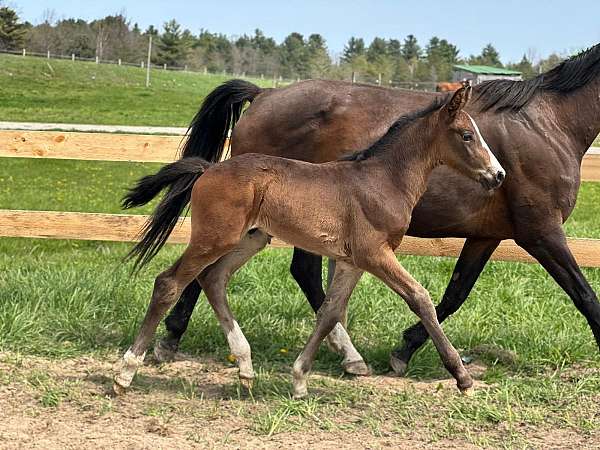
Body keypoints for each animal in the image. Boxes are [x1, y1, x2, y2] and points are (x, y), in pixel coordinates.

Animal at [115, 84, 504, 398]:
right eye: (466, 135)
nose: (498, 175)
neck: (383, 180)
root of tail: (208, 169)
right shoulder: (375, 254)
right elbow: (420, 298)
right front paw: (462, 377)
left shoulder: (351, 261)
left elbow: (329, 312)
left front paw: (301, 379)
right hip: (215, 238)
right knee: (170, 283)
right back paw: (125, 373)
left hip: (250, 239)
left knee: (213, 279)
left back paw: (245, 367)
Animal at [158, 43, 600, 372]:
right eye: (467, 136)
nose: (498, 175)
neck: (548, 125)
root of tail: (264, 94)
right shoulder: (541, 231)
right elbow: (585, 295)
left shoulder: (487, 235)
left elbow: (455, 292)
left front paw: (405, 349)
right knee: (231, 268)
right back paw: (171, 339)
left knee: (286, 273)